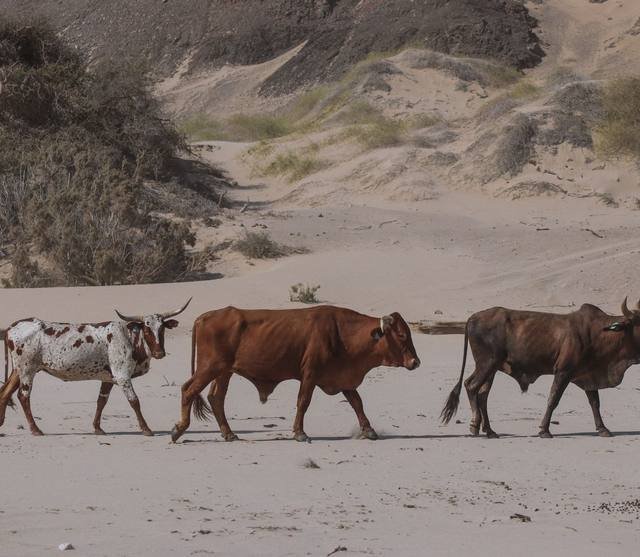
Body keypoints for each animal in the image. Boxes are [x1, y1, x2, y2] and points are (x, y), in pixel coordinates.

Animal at [0, 299, 190, 436]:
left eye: (162, 329)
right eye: (147, 329)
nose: (159, 353)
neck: (129, 337)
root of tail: (11, 327)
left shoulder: (109, 378)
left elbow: (101, 401)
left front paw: (97, 428)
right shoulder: (122, 376)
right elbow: (134, 401)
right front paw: (146, 429)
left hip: (18, 371)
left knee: (5, 392)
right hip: (27, 370)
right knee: (23, 396)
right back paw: (35, 429)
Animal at [170, 305, 420, 443]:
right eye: (401, 335)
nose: (415, 362)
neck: (342, 333)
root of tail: (205, 316)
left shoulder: (343, 379)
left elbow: (357, 403)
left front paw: (369, 430)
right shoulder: (310, 374)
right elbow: (303, 402)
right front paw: (300, 433)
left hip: (224, 372)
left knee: (216, 398)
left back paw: (229, 434)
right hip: (210, 368)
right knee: (188, 389)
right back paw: (178, 429)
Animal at [440, 298, 640, 439]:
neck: (600, 333)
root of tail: (473, 317)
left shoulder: (587, 376)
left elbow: (595, 403)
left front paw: (603, 429)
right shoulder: (564, 371)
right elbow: (553, 399)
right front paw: (544, 430)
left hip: (490, 368)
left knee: (482, 394)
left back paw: (489, 431)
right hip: (488, 363)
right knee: (471, 386)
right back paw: (475, 425)